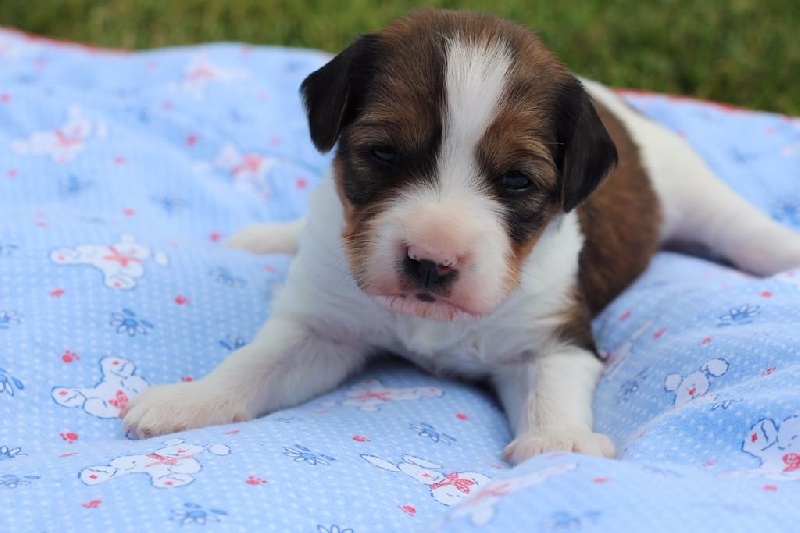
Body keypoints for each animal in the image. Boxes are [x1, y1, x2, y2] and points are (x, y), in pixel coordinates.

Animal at [122, 9, 800, 466]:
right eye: (383, 152)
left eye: (517, 180)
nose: (432, 261)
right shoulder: (323, 329)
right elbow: (252, 364)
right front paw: (190, 400)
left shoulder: (553, 336)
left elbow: (553, 389)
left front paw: (556, 445)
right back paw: (268, 237)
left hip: (694, 191)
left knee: (744, 229)